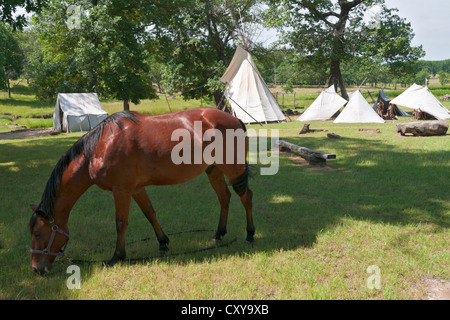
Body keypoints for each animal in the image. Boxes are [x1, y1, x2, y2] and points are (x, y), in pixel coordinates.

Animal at [29, 108, 253, 276]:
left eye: (38, 233)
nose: (36, 269)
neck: (100, 147)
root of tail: (235, 119)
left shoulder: (121, 190)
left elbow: (121, 223)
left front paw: (117, 256)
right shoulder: (136, 188)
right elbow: (150, 213)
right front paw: (163, 243)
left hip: (233, 168)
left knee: (246, 196)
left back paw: (250, 234)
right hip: (213, 169)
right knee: (224, 197)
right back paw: (218, 234)